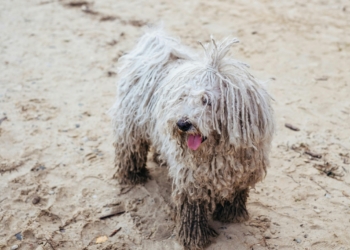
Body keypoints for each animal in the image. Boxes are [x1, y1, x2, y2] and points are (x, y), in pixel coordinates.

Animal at [110, 28, 274, 248]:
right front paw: (195, 238)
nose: (182, 123)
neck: (218, 151)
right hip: (131, 123)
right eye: (182, 97)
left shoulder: (244, 170)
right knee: (130, 148)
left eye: (207, 101)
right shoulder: (191, 177)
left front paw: (232, 214)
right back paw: (133, 175)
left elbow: (237, 192)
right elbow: (192, 208)